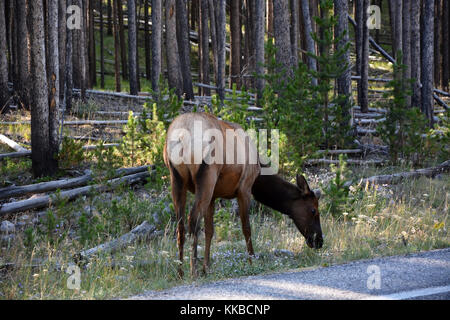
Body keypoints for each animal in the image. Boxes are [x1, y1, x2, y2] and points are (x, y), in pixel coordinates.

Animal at [163, 113, 322, 278]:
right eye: (314, 210)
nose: (319, 241)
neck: (259, 172)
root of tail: (182, 137)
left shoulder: (214, 195)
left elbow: (209, 231)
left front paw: (206, 268)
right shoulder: (245, 188)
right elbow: (247, 228)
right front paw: (252, 261)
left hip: (177, 179)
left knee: (180, 225)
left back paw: (180, 272)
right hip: (207, 177)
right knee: (192, 219)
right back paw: (193, 271)